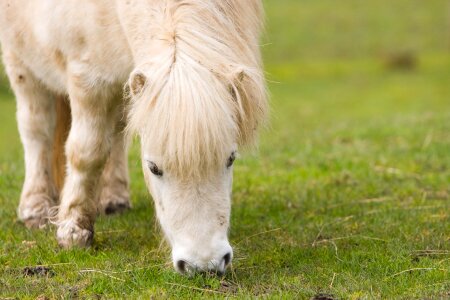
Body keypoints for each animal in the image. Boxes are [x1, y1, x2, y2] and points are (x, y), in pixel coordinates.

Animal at [0, 0, 268, 274]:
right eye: (153, 168)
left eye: (231, 159)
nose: (204, 265)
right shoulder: (86, 78)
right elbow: (86, 152)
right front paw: (73, 231)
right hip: (20, 62)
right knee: (36, 130)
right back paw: (36, 207)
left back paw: (113, 199)